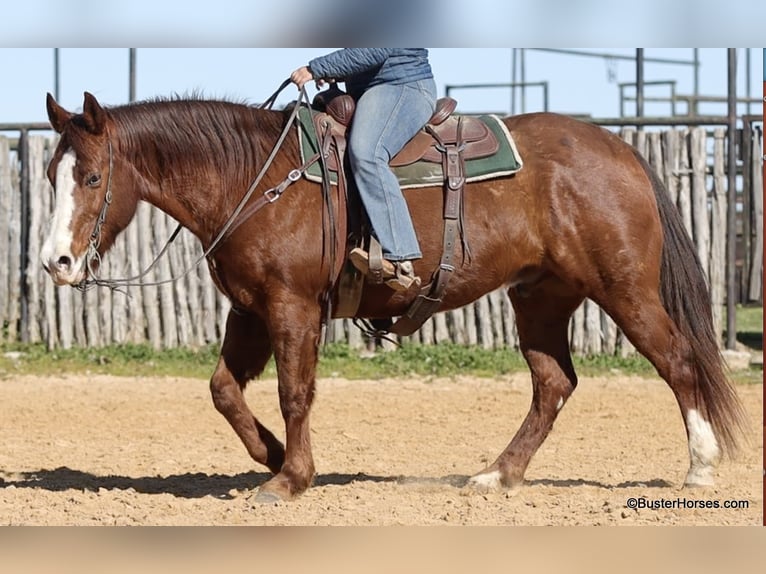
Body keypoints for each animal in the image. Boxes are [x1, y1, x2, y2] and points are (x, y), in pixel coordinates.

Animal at [39, 90, 748, 504]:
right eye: (51, 174)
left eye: (94, 177)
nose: (55, 262)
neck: (255, 178)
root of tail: (620, 149)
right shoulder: (250, 310)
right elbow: (223, 390)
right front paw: (273, 456)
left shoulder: (292, 307)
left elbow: (294, 392)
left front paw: (291, 478)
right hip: (541, 298)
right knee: (554, 384)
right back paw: (498, 474)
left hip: (625, 289)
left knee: (678, 363)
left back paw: (700, 468)